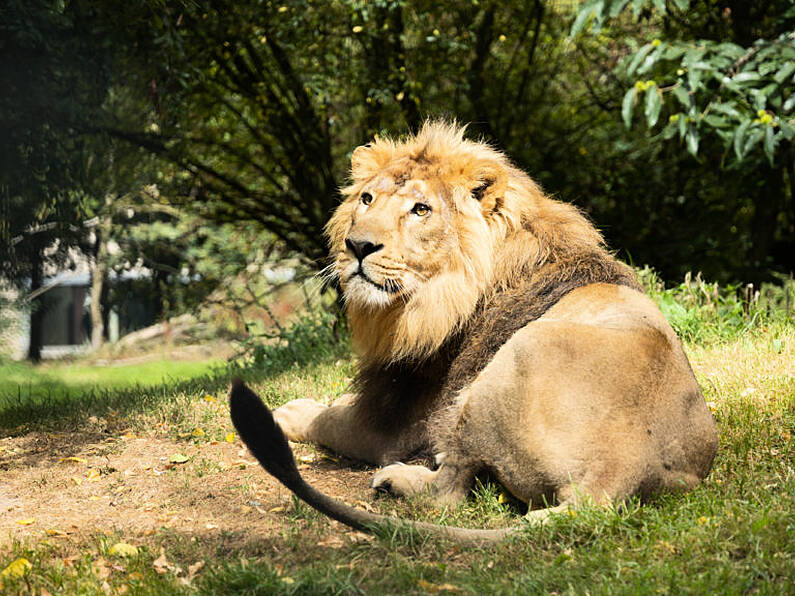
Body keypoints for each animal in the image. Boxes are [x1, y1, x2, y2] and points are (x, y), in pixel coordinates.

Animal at [230, 118, 720, 544]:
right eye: (366, 199)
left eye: (421, 209)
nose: (358, 246)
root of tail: (610, 478)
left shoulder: (394, 423)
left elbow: (331, 419)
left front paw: (290, 412)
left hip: (501, 370)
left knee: (448, 489)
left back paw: (396, 480)